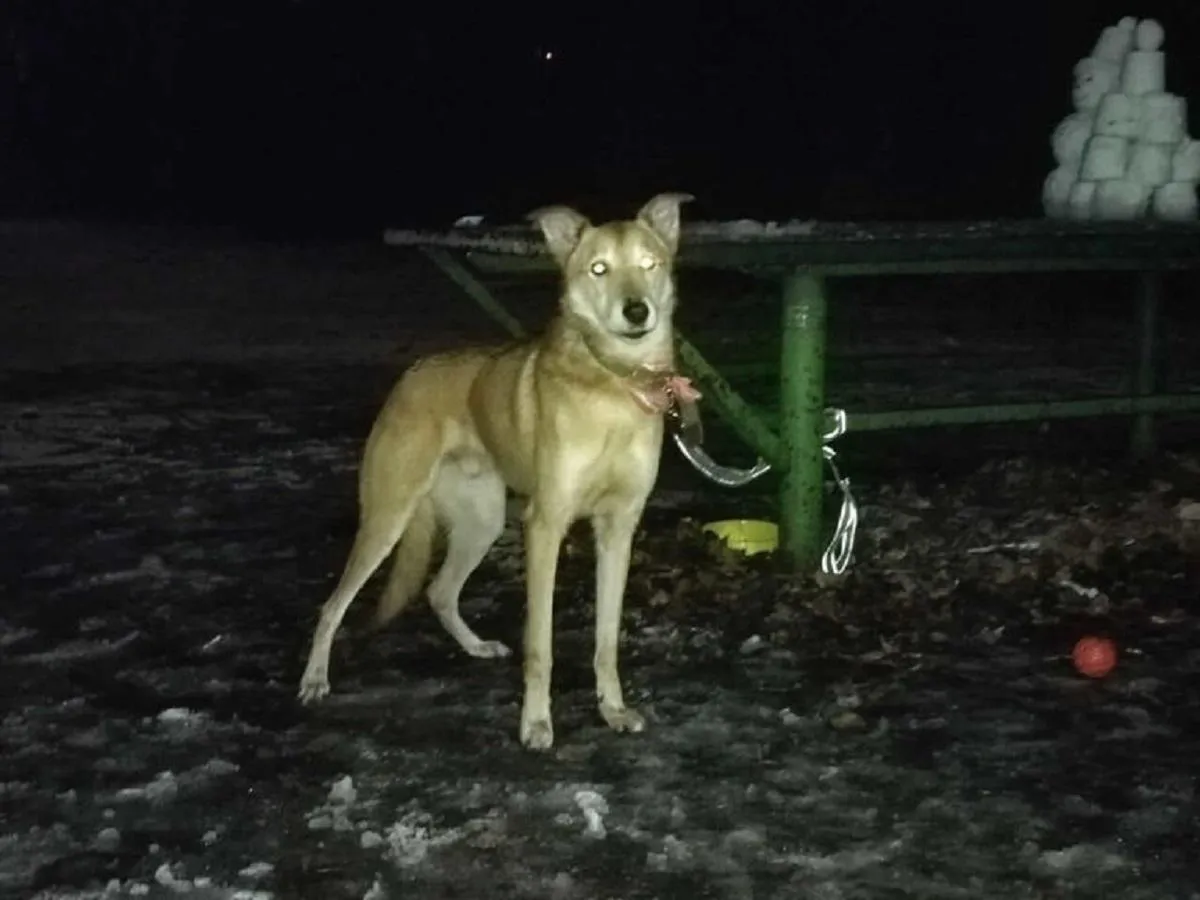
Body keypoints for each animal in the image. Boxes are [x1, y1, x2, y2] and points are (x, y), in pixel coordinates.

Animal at [294, 194, 700, 748]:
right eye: (599, 269)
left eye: (649, 264)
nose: (637, 311)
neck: (614, 385)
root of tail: (410, 375)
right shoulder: (545, 525)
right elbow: (540, 646)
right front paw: (536, 723)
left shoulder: (618, 528)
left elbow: (606, 641)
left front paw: (612, 709)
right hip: (387, 518)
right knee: (333, 605)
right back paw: (315, 679)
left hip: (482, 522)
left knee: (440, 591)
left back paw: (476, 646)